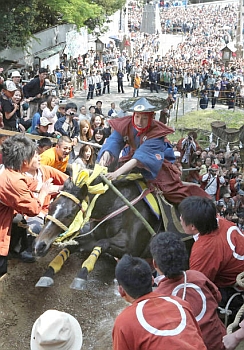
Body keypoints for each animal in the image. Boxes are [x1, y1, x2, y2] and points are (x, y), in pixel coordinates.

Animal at [33, 167, 191, 290]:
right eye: (51, 206)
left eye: (70, 214)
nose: (39, 245)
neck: (114, 207)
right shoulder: (93, 236)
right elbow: (73, 246)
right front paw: (49, 273)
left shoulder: (131, 248)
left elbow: (102, 243)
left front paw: (81, 275)